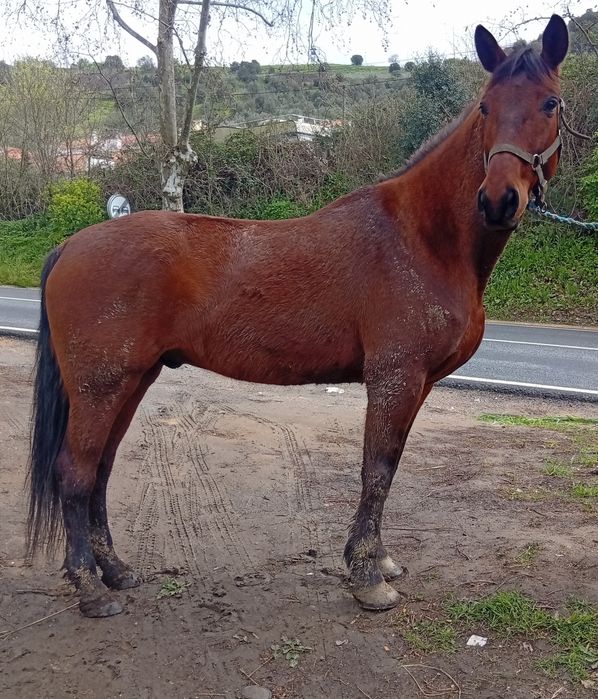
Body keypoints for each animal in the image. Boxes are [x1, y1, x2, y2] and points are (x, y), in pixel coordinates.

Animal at [27, 16, 569, 617]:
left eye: (550, 104)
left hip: (132, 380)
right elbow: (376, 469)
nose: (499, 200)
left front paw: (378, 560)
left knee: (99, 469)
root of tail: (70, 246)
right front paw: (366, 575)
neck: (423, 238)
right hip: (100, 385)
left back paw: (117, 571)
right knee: (75, 473)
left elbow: (389, 467)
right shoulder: (395, 377)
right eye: (485, 107)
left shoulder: (418, 384)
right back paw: (89, 586)